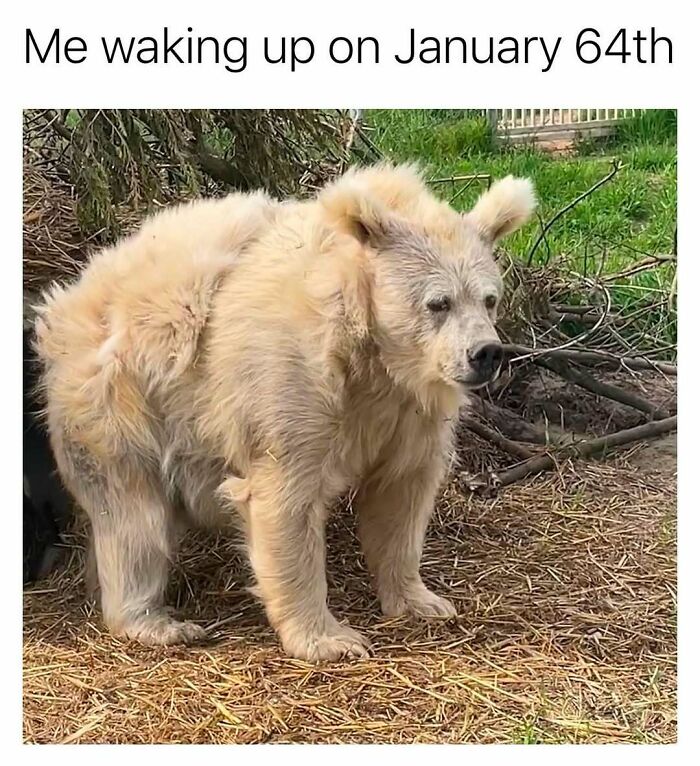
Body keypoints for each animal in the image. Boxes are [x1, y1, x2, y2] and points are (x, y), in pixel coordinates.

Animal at [33, 163, 536, 661]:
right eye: (438, 302)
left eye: (489, 298)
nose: (486, 353)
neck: (371, 356)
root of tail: (69, 296)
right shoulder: (293, 385)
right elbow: (286, 500)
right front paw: (330, 638)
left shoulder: (407, 412)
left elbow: (402, 495)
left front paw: (422, 600)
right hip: (120, 401)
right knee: (134, 518)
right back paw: (157, 622)